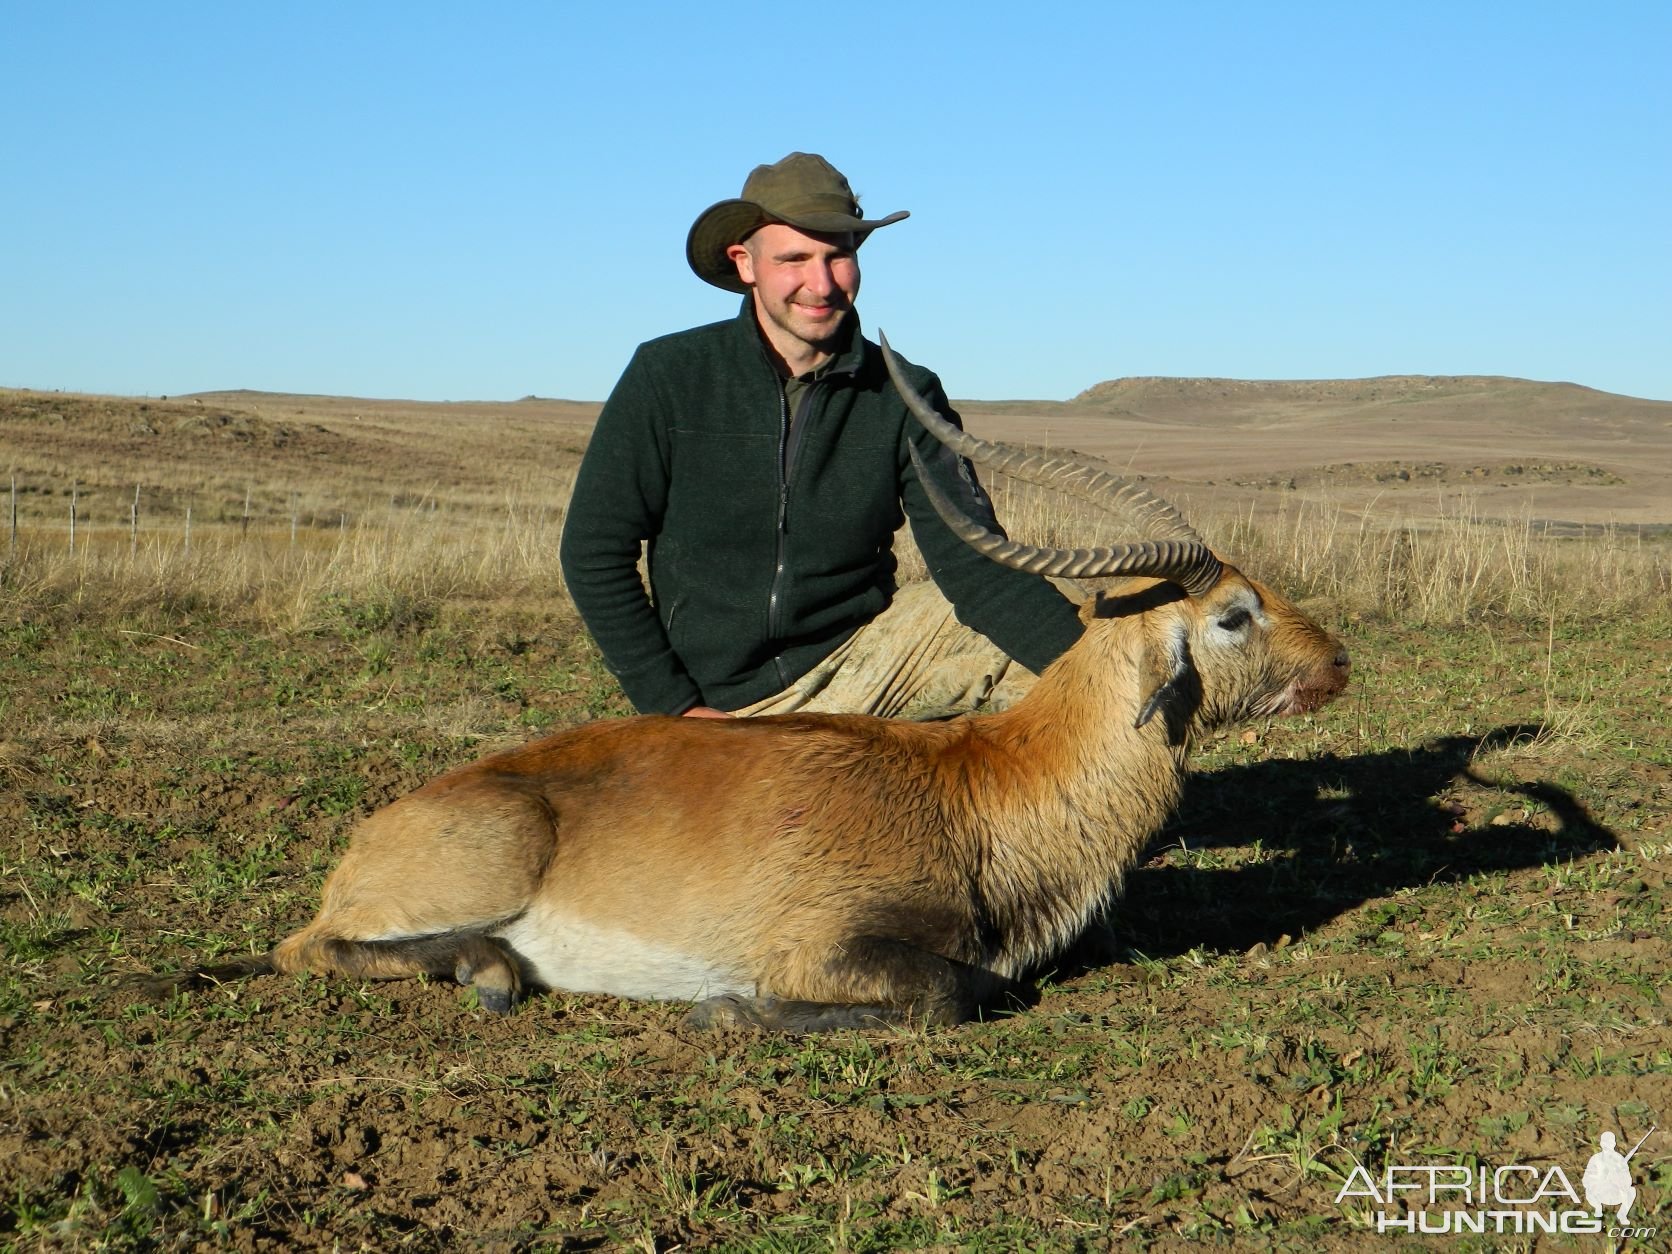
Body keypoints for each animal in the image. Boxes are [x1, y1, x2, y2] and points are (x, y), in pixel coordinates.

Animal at [157, 341, 1350, 1029]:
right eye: (1233, 613)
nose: (1338, 662)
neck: (983, 795)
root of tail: (376, 830)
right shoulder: (828, 945)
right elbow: (961, 992)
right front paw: (728, 1013)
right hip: (470, 871)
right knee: (303, 948)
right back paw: (491, 972)